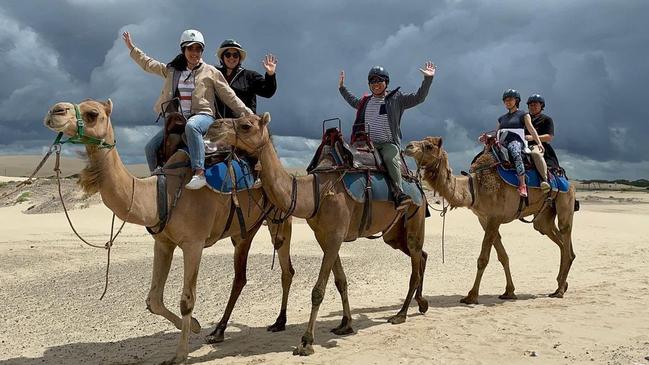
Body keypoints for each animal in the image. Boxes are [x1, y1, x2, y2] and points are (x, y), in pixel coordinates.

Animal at [45, 98, 296, 362]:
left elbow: (187, 300)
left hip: (277, 220)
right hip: (243, 230)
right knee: (246, 276)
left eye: (92, 113)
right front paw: (195, 326)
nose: (55, 111)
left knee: (279, 269)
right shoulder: (163, 242)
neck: (160, 194)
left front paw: (180, 354)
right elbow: (153, 299)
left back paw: (275, 322)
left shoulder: (194, 243)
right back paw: (220, 331)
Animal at [208, 112, 428, 354]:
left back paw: (401, 314)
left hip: (414, 218)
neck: (314, 193)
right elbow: (340, 281)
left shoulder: (335, 236)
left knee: (415, 264)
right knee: (422, 255)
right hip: (394, 233)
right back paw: (421, 303)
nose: (213, 127)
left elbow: (318, 291)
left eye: (246, 125)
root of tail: (417, 185)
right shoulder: (325, 237)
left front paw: (306, 341)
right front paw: (345, 325)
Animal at [402, 136, 576, 302]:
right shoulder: (484, 219)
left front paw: (471, 296)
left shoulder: (494, 218)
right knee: (557, 239)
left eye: (429, 146)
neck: (475, 188)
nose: (408, 146)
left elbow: (483, 259)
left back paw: (560, 290)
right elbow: (503, 256)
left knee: (565, 233)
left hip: (565, 200)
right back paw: (561, 284)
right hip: (544, 215)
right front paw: (509, 292)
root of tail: (566, 179)